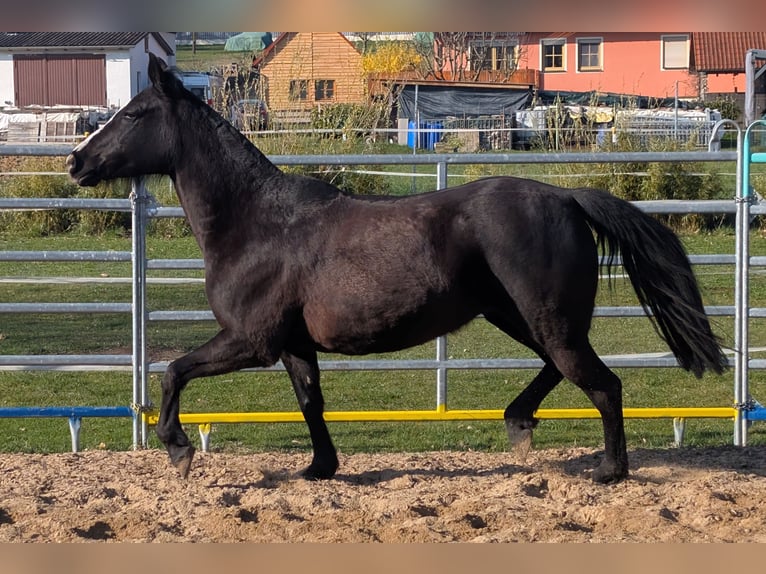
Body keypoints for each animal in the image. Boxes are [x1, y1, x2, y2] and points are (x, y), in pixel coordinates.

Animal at [66, 53, 727, 484]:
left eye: (135, 113)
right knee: (560, 371)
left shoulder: (251, 341)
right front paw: (320, 468)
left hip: (548, 320)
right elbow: (310, 401)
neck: (256, 223)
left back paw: (609, 471)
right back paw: (519, 423)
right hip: (519, 317)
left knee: (602, 383)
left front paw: (177, 449)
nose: (76, 162)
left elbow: (172, 371)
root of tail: (565, 197)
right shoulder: (294, 345)